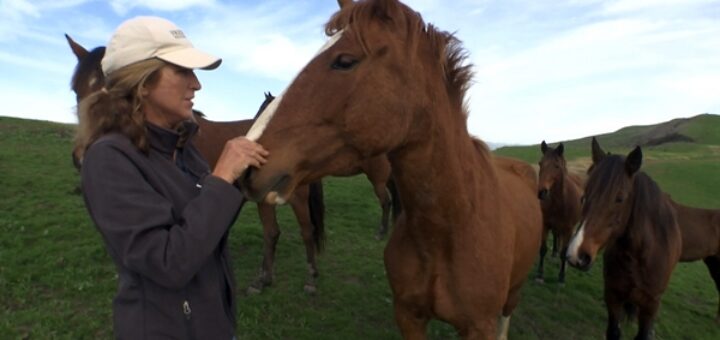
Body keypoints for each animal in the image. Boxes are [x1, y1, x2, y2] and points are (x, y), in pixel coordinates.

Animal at [240, 0, 540, 338]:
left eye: (344, 61)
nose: (247, 163)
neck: (450, 226)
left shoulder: (480, 327)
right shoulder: (408, 316)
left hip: (512, 295)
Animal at [536, 141, 584, 284]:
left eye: (557, 166)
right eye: (540, 163)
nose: (541, 192)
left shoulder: (568, 229)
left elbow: (564, 253)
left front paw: (561, 277)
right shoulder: (545, 225)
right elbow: (543, 249)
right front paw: (540, 274)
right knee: (556, 235)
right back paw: (554, 252)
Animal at [568, 138, 680, 340]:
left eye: (619, 198)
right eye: (584, 195)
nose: (576, 254)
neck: (638, 256)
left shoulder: (650, 306)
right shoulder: (613, 296)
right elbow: (613, 331)